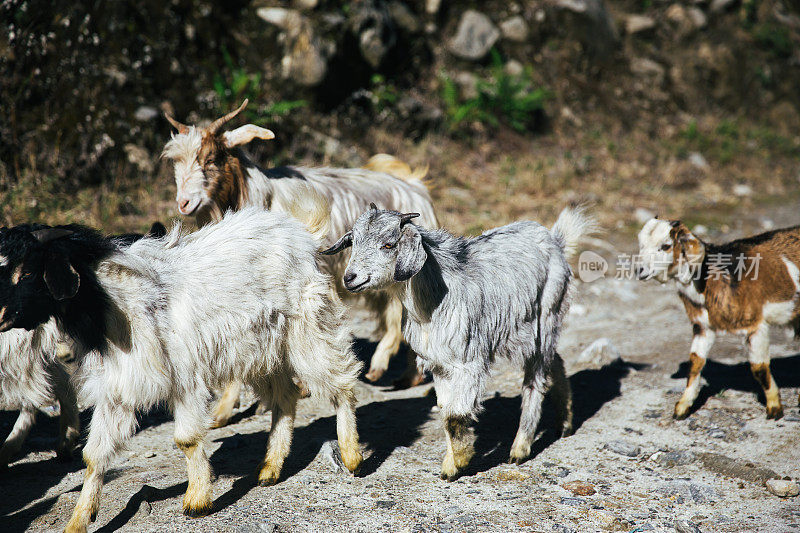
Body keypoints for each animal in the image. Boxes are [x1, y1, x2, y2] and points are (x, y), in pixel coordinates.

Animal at [0, 208, 360, 532]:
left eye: (28, 272)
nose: (1, 319)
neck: (114, 304)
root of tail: (299, 231)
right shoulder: (118, 387)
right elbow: (94, 455)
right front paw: (78, 520)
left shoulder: (184, 375)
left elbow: (186, 439)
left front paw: (197, 500)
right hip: (260, 352)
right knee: (285, 397)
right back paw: (270, 468)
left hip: (309, 329)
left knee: (341, 383)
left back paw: (351, 454)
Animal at [162, 100, 438, 424]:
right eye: (176, 162)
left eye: (212, 159)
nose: (184, 203)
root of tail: (414, 185)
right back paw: (408, 377)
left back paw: (381, 366)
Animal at [322, 203, 596, 478]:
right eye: (354, 242)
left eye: (388, 244)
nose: (350, 278)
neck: (431, 303)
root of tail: (555, 239)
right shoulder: (439, 363)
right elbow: (446, 410)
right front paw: (450, 463)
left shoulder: (468, 362)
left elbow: (455, 416)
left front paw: (460, 461)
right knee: (555, 361)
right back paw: (566, 422)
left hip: (544, 318)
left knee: (535, 380)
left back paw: (520, 449)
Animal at [636, 218, 800, 418]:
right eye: (641, 244)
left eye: (666, 246)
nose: (640, 270)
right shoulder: (703, 326)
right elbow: (696, 361)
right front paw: (682, 407)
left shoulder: (754, 325)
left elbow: (758, 367)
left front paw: (774, 408)